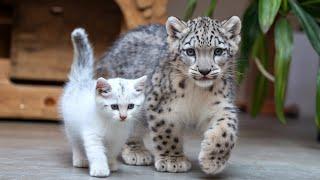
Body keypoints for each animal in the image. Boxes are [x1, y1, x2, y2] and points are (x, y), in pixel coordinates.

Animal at [59, 28, 146, 177]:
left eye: (130, 106)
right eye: (114, 106)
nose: (123, 116)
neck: (112, 125)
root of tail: (82, 80)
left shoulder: (118, 139)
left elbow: (111, 153)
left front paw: (110, 164)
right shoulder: (92, 135)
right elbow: (97, 153)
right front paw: (100, 169)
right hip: (71, 126)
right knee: (76, 143)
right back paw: (80, 159)